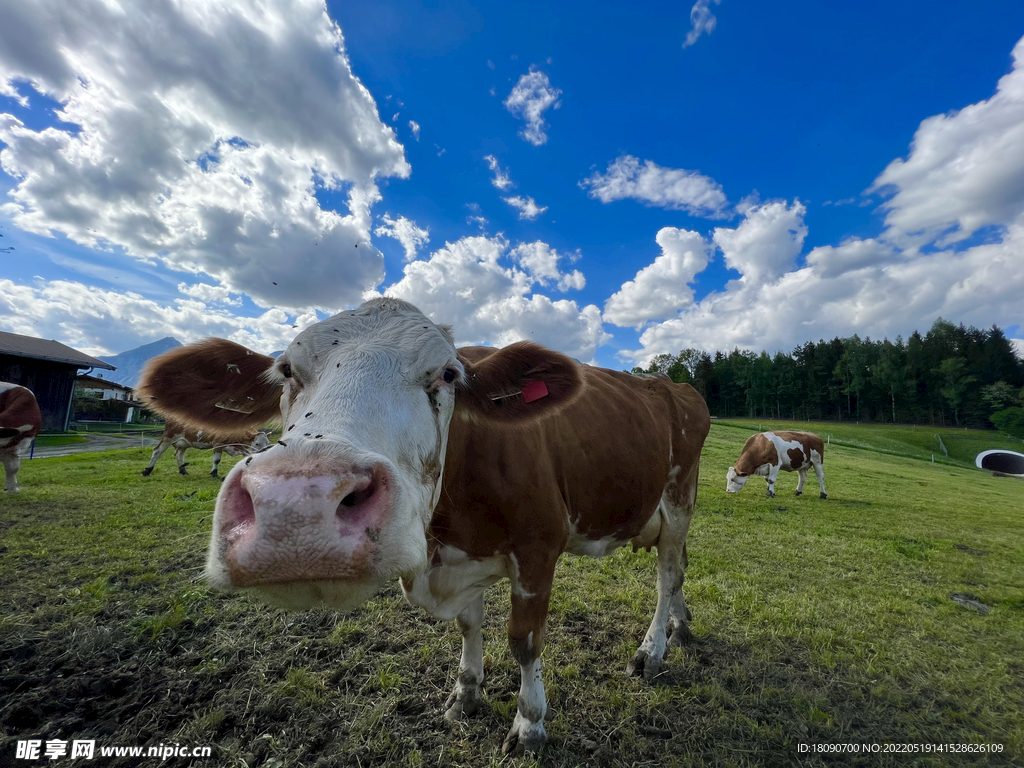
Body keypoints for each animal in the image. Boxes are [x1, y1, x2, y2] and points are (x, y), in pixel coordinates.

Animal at [140, 417, 270, 479]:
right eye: (257, 444)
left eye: (268, 443)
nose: (265, 452)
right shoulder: (218, 444)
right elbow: (217, 460)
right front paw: (214, 473)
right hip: (168, 437)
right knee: (157, 451)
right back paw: (147, 470)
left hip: (184, 442)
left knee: (179, 454)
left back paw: (183, 471)